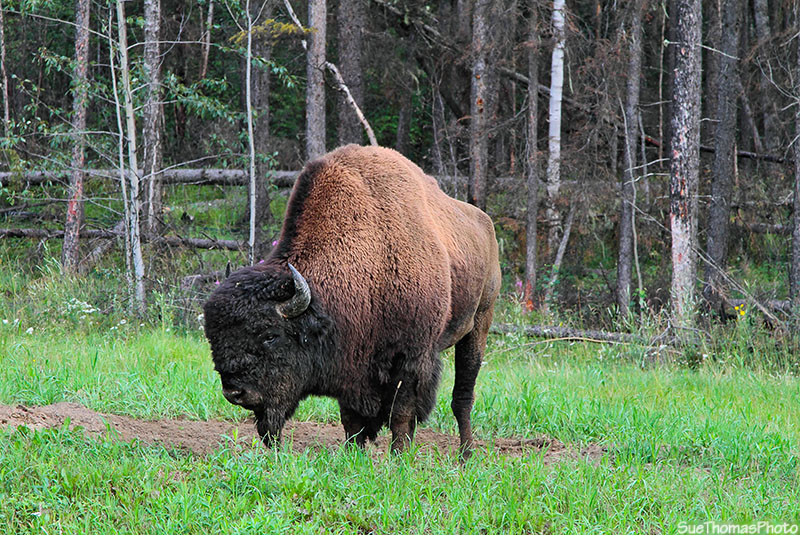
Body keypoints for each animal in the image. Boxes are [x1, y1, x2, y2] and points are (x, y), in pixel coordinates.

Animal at [203, 145, 500, 459]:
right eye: (213, 337)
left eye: (270, 336)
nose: (234, 392)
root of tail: (487, 226)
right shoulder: (352, 362)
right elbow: (352, 419)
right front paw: (353, 453)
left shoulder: (410, 357)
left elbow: (401, 412)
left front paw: (399, 456)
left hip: (479, 323)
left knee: (462, 396)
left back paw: (466, 455)